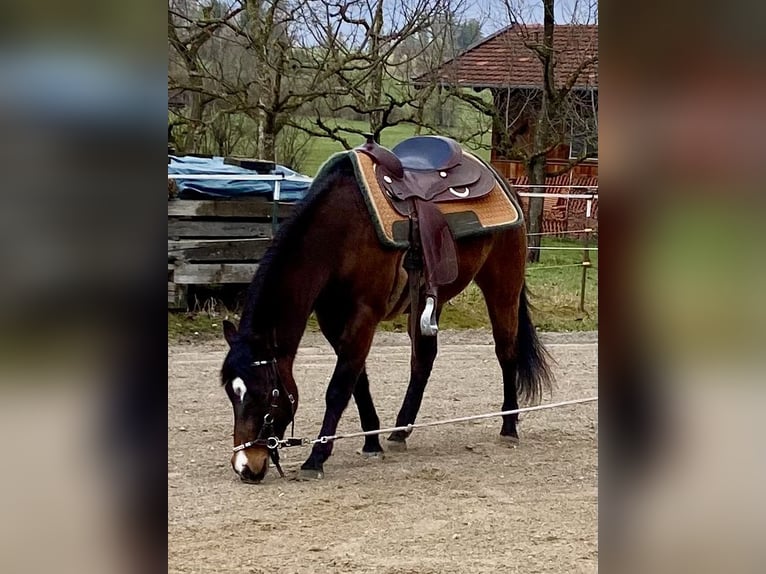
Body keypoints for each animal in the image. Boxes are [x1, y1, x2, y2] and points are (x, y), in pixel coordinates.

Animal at [219, 148, 552, 483]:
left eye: (266, 393)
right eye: (232, 393)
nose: (246, 466)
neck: (341, 229)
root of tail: (500, 180)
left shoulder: (364, 315)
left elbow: (339, 388)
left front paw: (317, 457)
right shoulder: (332, 319)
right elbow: (358, 381)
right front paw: (372, 442)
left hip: (503, 287)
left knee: (506, 351)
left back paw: (508, 426)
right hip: (429, 300)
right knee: (423, 360)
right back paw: (400, 431)